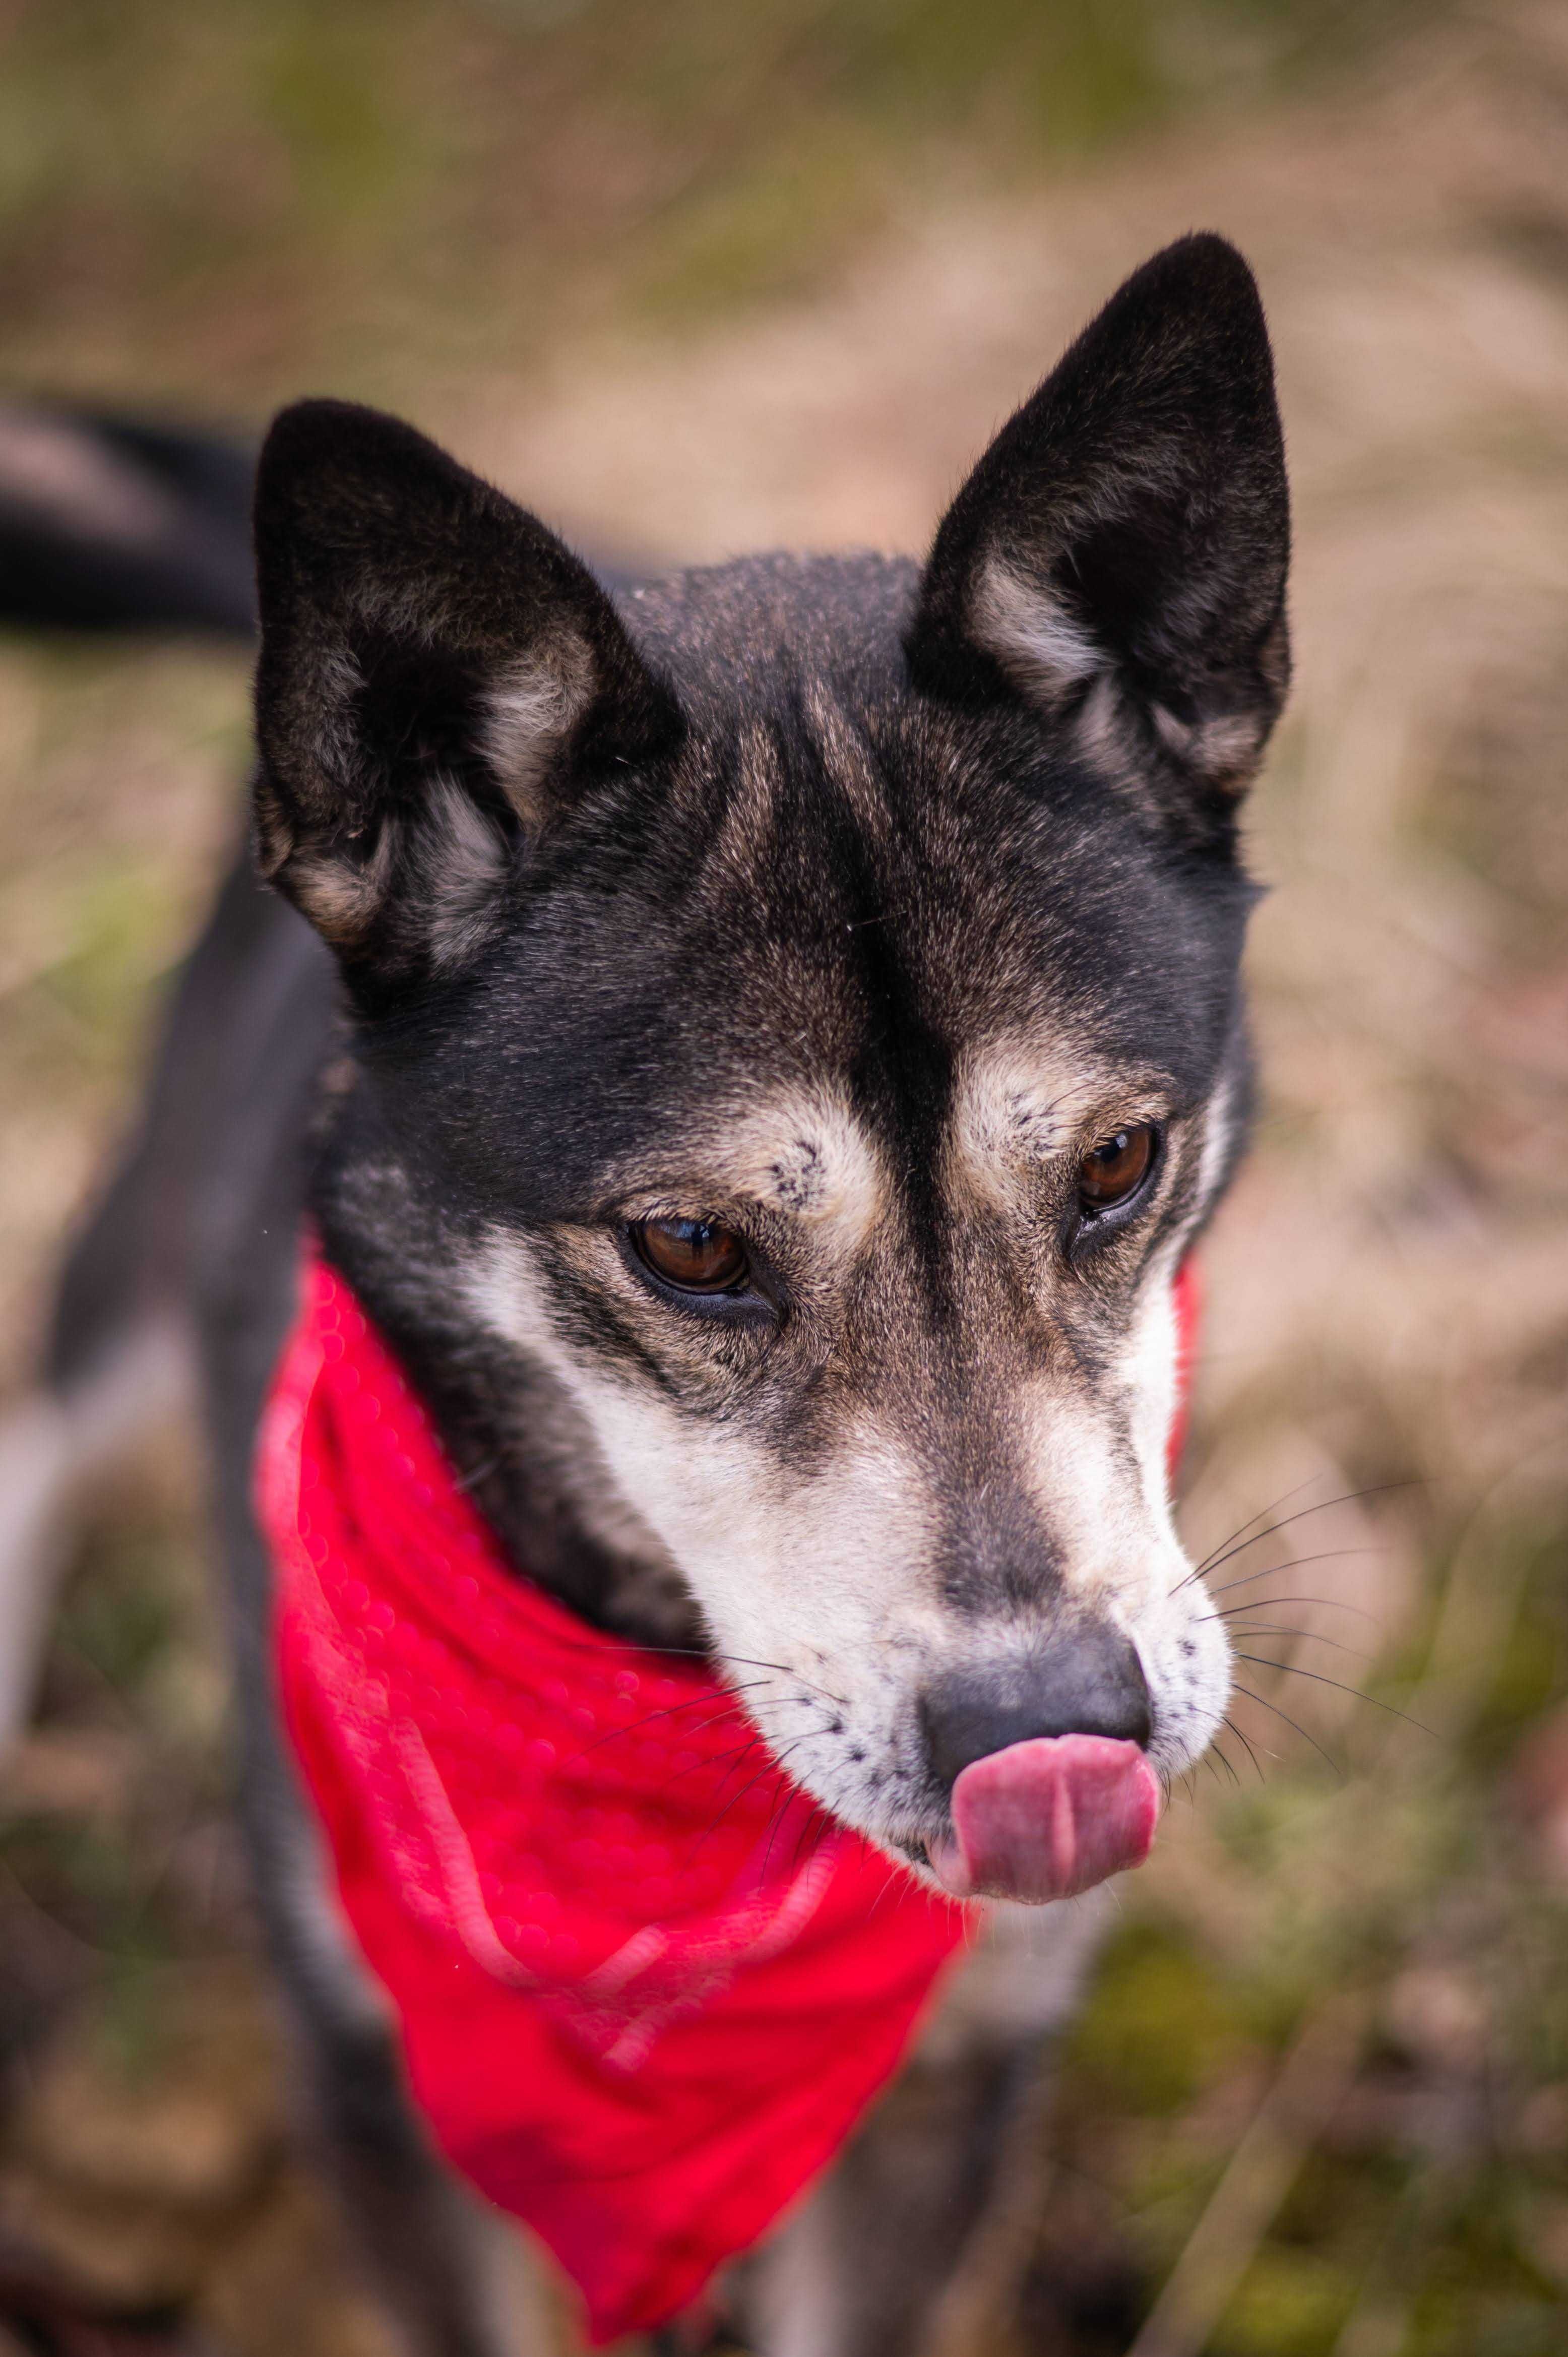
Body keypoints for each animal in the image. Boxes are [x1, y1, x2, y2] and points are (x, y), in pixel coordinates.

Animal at [3, 234, 1282, 2357]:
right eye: (690, 1247)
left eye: (1115, 1162)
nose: (1053, 1728)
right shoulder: (377, 2094)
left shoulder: (953, 2090)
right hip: (139, 1246)